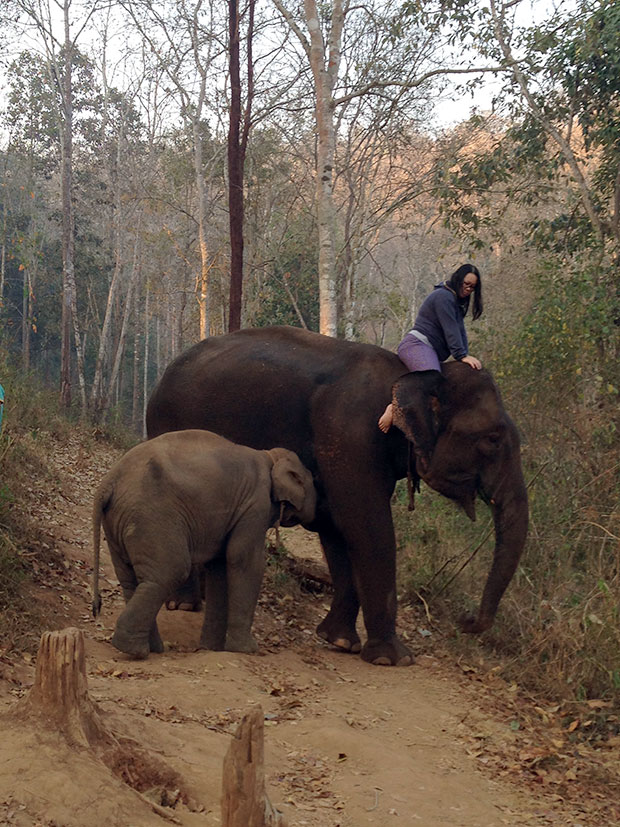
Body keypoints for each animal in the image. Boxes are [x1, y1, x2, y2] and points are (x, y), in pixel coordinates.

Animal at [92, 428, 317, 659]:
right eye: (313, 482)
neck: (270, 456)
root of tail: (109, 482)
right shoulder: (255, 504)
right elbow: (244, 560)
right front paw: (247, 650)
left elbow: (219, 566)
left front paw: (212, 648)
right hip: (150, 517)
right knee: (170, 571)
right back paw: (134, 649)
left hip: (118, 525)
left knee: (131, 580)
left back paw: (149, 648)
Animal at [145, 326, 528, 667]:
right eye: (492, 439)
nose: (465, 621)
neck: (408, 376)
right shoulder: (351, 435)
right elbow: (367, 525)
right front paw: (394, 658)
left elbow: (337, 527)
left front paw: (340, 641)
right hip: (166, 425)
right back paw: (183, 605)